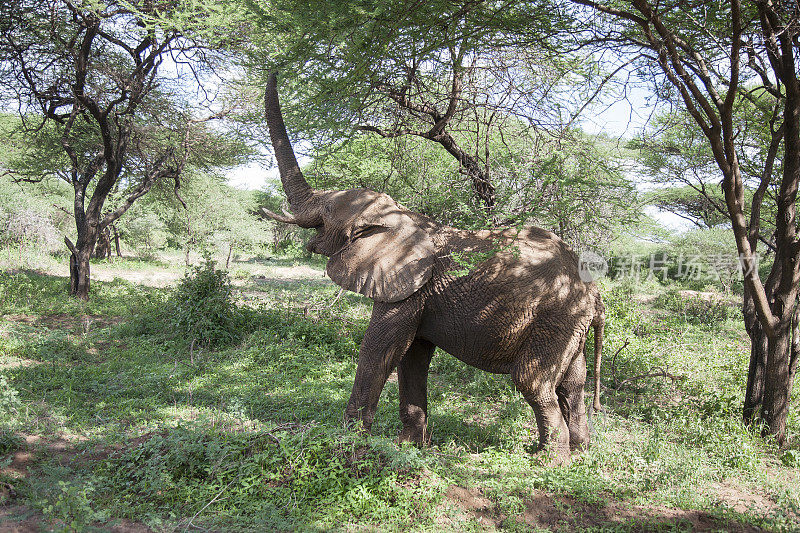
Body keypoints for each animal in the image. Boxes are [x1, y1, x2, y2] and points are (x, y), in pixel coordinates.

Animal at [262, 72, 608, 460]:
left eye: (323, 216)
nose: (275, 70)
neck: (398, 217)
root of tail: (594, 291)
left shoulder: (406, 289)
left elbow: (380, 350)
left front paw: (347, 443)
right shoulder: (419, 294)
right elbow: (412, 356)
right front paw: (409, 447)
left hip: (553, 318)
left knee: (533, 382)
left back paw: (550, 462)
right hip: (569, 325)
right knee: (572, 385)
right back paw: (580, 453)